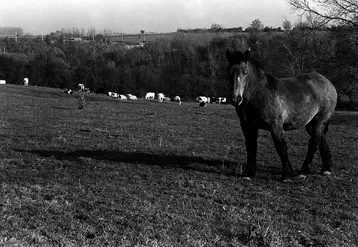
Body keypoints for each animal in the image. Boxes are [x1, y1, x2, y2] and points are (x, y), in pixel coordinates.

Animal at [228, 48, 338, 180]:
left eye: (245, 72)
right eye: (230, 72)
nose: (236, 99)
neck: (259, 94)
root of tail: (327, 83)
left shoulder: (275, 126)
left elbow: (281, 148)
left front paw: (287, 175)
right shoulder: (248, 126)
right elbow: (250, 147)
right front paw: (248, 173)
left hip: (320, 120)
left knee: (314, 143)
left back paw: (303, 172)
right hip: (311, 123)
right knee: (320, 140)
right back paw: (326, 169)